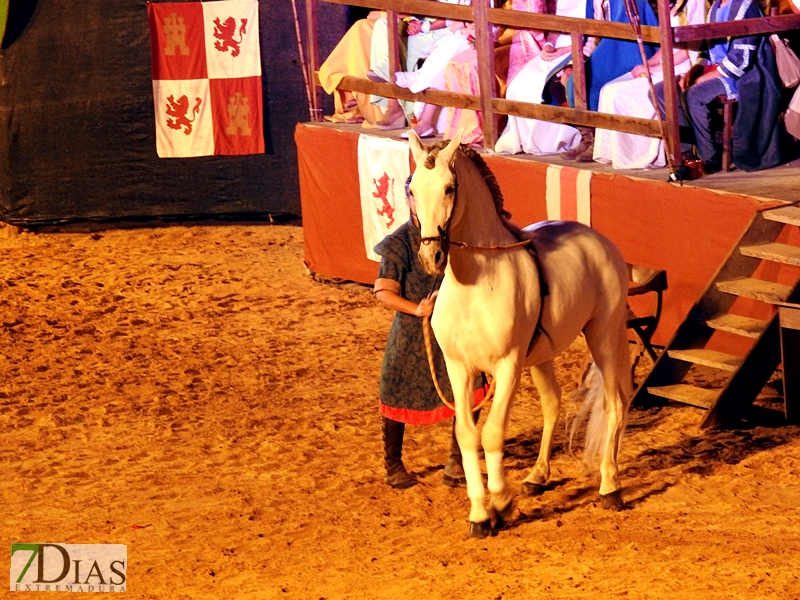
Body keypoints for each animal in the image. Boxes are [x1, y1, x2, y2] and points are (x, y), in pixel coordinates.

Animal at [410, 131, 636, 540]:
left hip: (605, 336)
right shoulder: (458, 368)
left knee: (615, 404)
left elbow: (492, 433)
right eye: (414, 189)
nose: (430, 258)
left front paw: (501, 503)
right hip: (543, 355)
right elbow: (467, 435)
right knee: (553, 404)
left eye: (450, 188)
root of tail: (599, 240)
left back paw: (610, 487)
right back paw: (537, 477)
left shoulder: (508, 367)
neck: (475, 281)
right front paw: (480, 514)